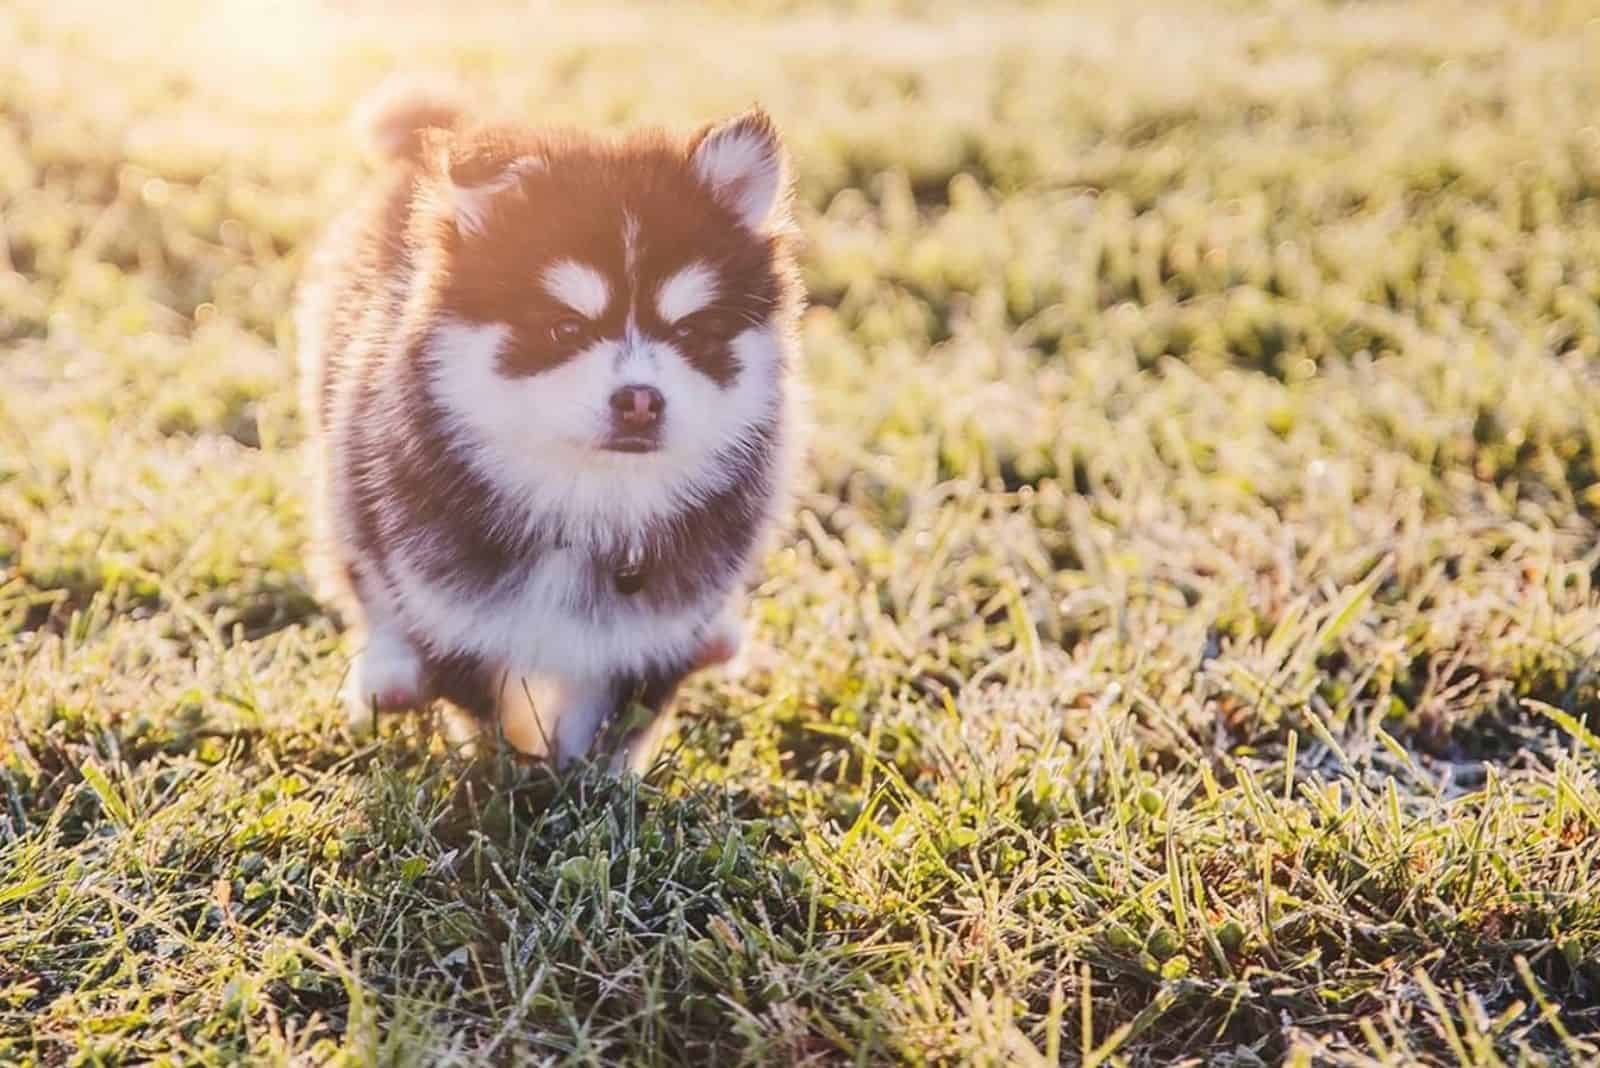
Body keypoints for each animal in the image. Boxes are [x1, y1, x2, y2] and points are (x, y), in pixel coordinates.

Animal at [296, 83, 806, 767]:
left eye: (691, 332)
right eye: (565, 327)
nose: (640, 400)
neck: (587, 502)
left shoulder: (648, 632)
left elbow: (606, 722)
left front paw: (586, 777)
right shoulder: (451, 608)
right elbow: (491, 708)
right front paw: (514, 768)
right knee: (362, 569)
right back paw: (390, 673)